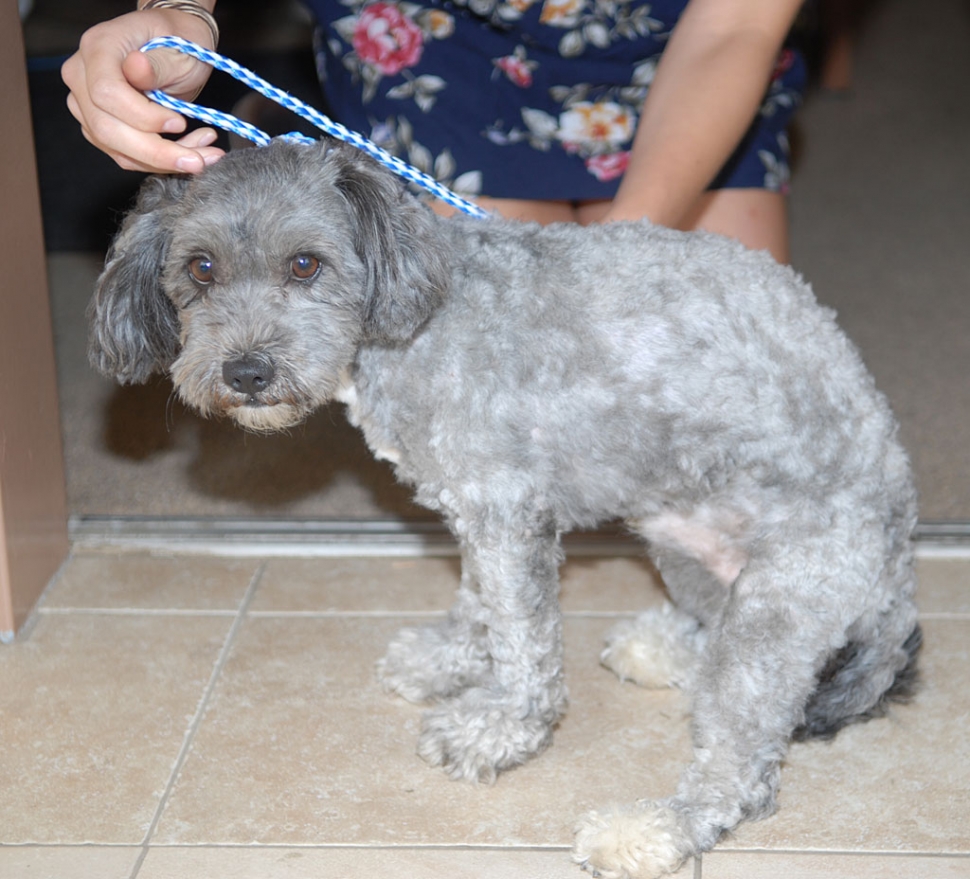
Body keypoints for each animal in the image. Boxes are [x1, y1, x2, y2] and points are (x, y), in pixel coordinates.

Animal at [91, 139, 924, 879]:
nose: (246, 371)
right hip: (680, 542)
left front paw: (499, 727)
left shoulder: (510, 512)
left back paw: (649, 829)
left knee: (743, 773)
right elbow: (481, 602)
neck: (418, 314)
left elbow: (525, 641)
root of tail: (896, 578)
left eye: (305, 263)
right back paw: (664, 648)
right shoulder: (475, 510)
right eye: (200, 268)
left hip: (772, 613)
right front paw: (452, 659)